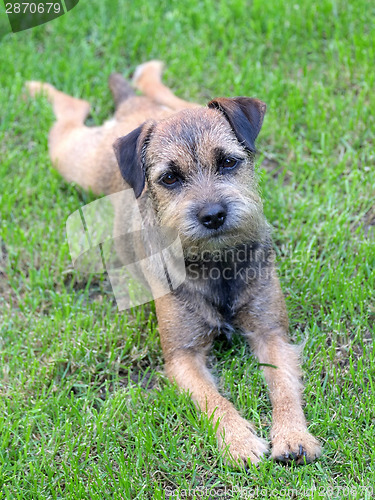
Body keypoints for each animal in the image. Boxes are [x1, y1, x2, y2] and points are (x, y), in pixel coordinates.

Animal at [26, 60, 322, 466]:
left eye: (227, 162)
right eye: (169, 178)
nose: (212, 214)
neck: (216, 264)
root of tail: (134, 113)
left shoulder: (271, 333)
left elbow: (284, 385)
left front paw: (294, 435)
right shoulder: (182, 356)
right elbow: (214, 400)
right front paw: (240, 443)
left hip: (171, 106)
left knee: (151, 92)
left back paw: (147, 72)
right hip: (72, 158)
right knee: (71, 114)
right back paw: (40, 89)